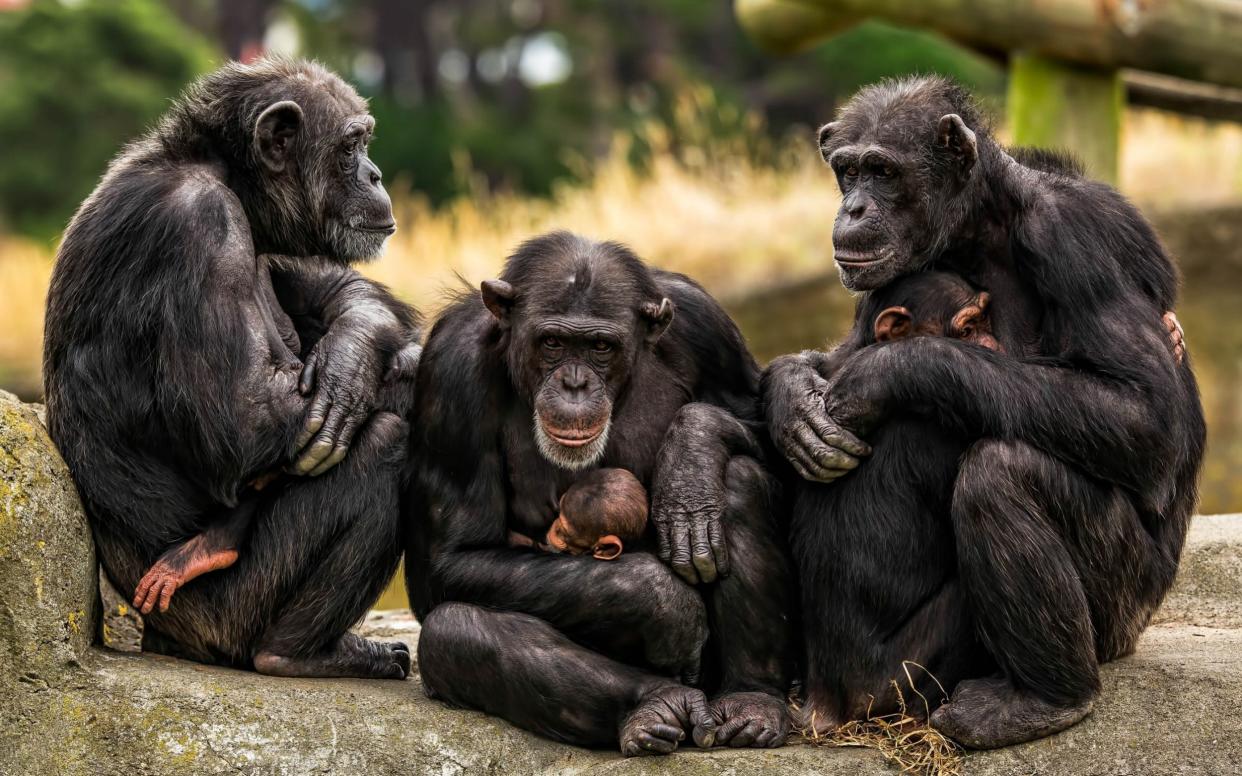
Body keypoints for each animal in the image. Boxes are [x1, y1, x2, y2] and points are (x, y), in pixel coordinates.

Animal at [45, 60, 422, 675]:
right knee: (386, 441)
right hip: (232, 612)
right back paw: (299, 653)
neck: (231, 182)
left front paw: (349, 364)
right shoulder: (199, 225)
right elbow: (242, 421)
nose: (374, 173)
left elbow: (336, 289)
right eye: (351, 145)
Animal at [794, 269, 998, 730]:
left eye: (985, 321)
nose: (994, 345)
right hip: (890, 688)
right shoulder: (940, 429)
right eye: (968, 329)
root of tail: (825, 705)